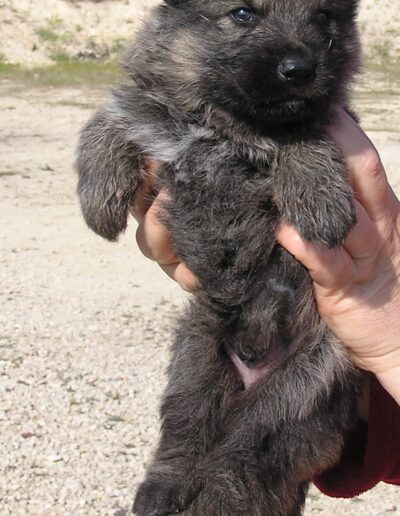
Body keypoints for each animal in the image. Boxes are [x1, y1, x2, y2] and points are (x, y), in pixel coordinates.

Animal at [76, 1, 362, 516]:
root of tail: (254, 362)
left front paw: (319, 196)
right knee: (184, 434)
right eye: (244, 14)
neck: (223, 123)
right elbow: (109, 116)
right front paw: (98, 197)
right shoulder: (149, 110)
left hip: (301, 390)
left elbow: (306, 133)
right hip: (196, 357)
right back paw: (161, 489)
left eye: (323, 18)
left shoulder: (320, 118)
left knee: (240, 454)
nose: (300, 70)